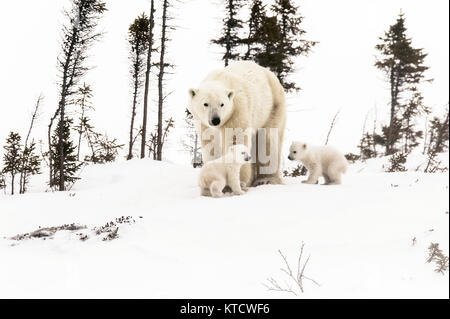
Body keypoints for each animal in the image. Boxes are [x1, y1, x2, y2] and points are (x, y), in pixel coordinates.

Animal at [188, 60, 286, 188]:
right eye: (205, 104)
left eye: (222, 104)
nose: (215, 120)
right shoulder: (202, 123)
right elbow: (211, 144)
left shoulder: (237, 109)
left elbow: (235, 139)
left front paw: (238, 180)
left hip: (272, 108)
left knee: (267, 140)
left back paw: (266, 180)